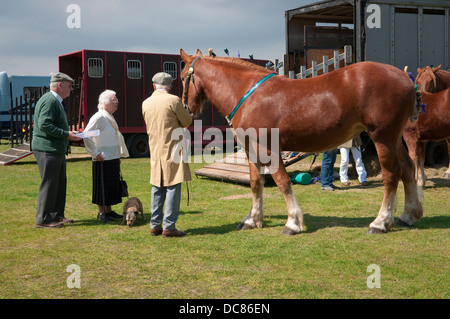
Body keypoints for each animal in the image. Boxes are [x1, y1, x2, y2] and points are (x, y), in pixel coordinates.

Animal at [181, 49, 424, 235]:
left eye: (183, 76)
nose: (186, 110)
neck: (248, 95)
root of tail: (406, 78)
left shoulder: (269, 149)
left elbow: (282, 182)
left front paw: (293, 222)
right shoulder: (252, 150)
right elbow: (255, 183)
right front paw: (252, 219)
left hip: (382, 137)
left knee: (391, 174)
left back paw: (380, 222)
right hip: (394, 139)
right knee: (407, 169)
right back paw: (408, 214)